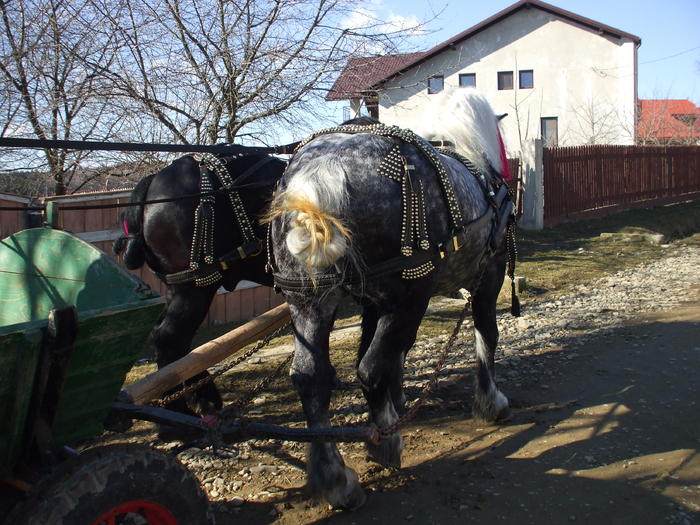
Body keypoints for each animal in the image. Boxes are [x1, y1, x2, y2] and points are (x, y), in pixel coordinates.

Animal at [266, 88, 516, 506]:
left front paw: (395, 402)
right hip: (410, 297)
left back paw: (333, 477)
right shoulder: (489, 274)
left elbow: (391, 351)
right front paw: (490, 402)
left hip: (309, 302)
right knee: (370, 367)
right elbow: (486, 334)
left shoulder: (374, 303)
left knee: (311, 377)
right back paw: (384, 442)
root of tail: (323, 168)